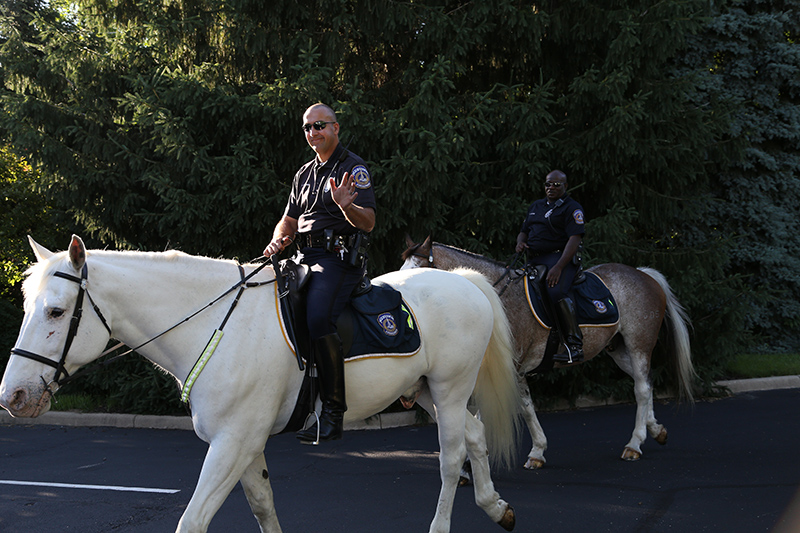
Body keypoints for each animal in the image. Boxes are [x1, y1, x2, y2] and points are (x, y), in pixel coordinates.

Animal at [0, 237, 520, 532]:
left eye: (55, 311)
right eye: (26, 306)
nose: (13, 397)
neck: (209, 324)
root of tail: (466, 282)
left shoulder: (233, 443)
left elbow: (193, 521)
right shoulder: (243, 444)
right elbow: (263, 506)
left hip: (450, 389)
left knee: (451, 458)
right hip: (429, 391)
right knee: (475, 435)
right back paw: (496, 507)